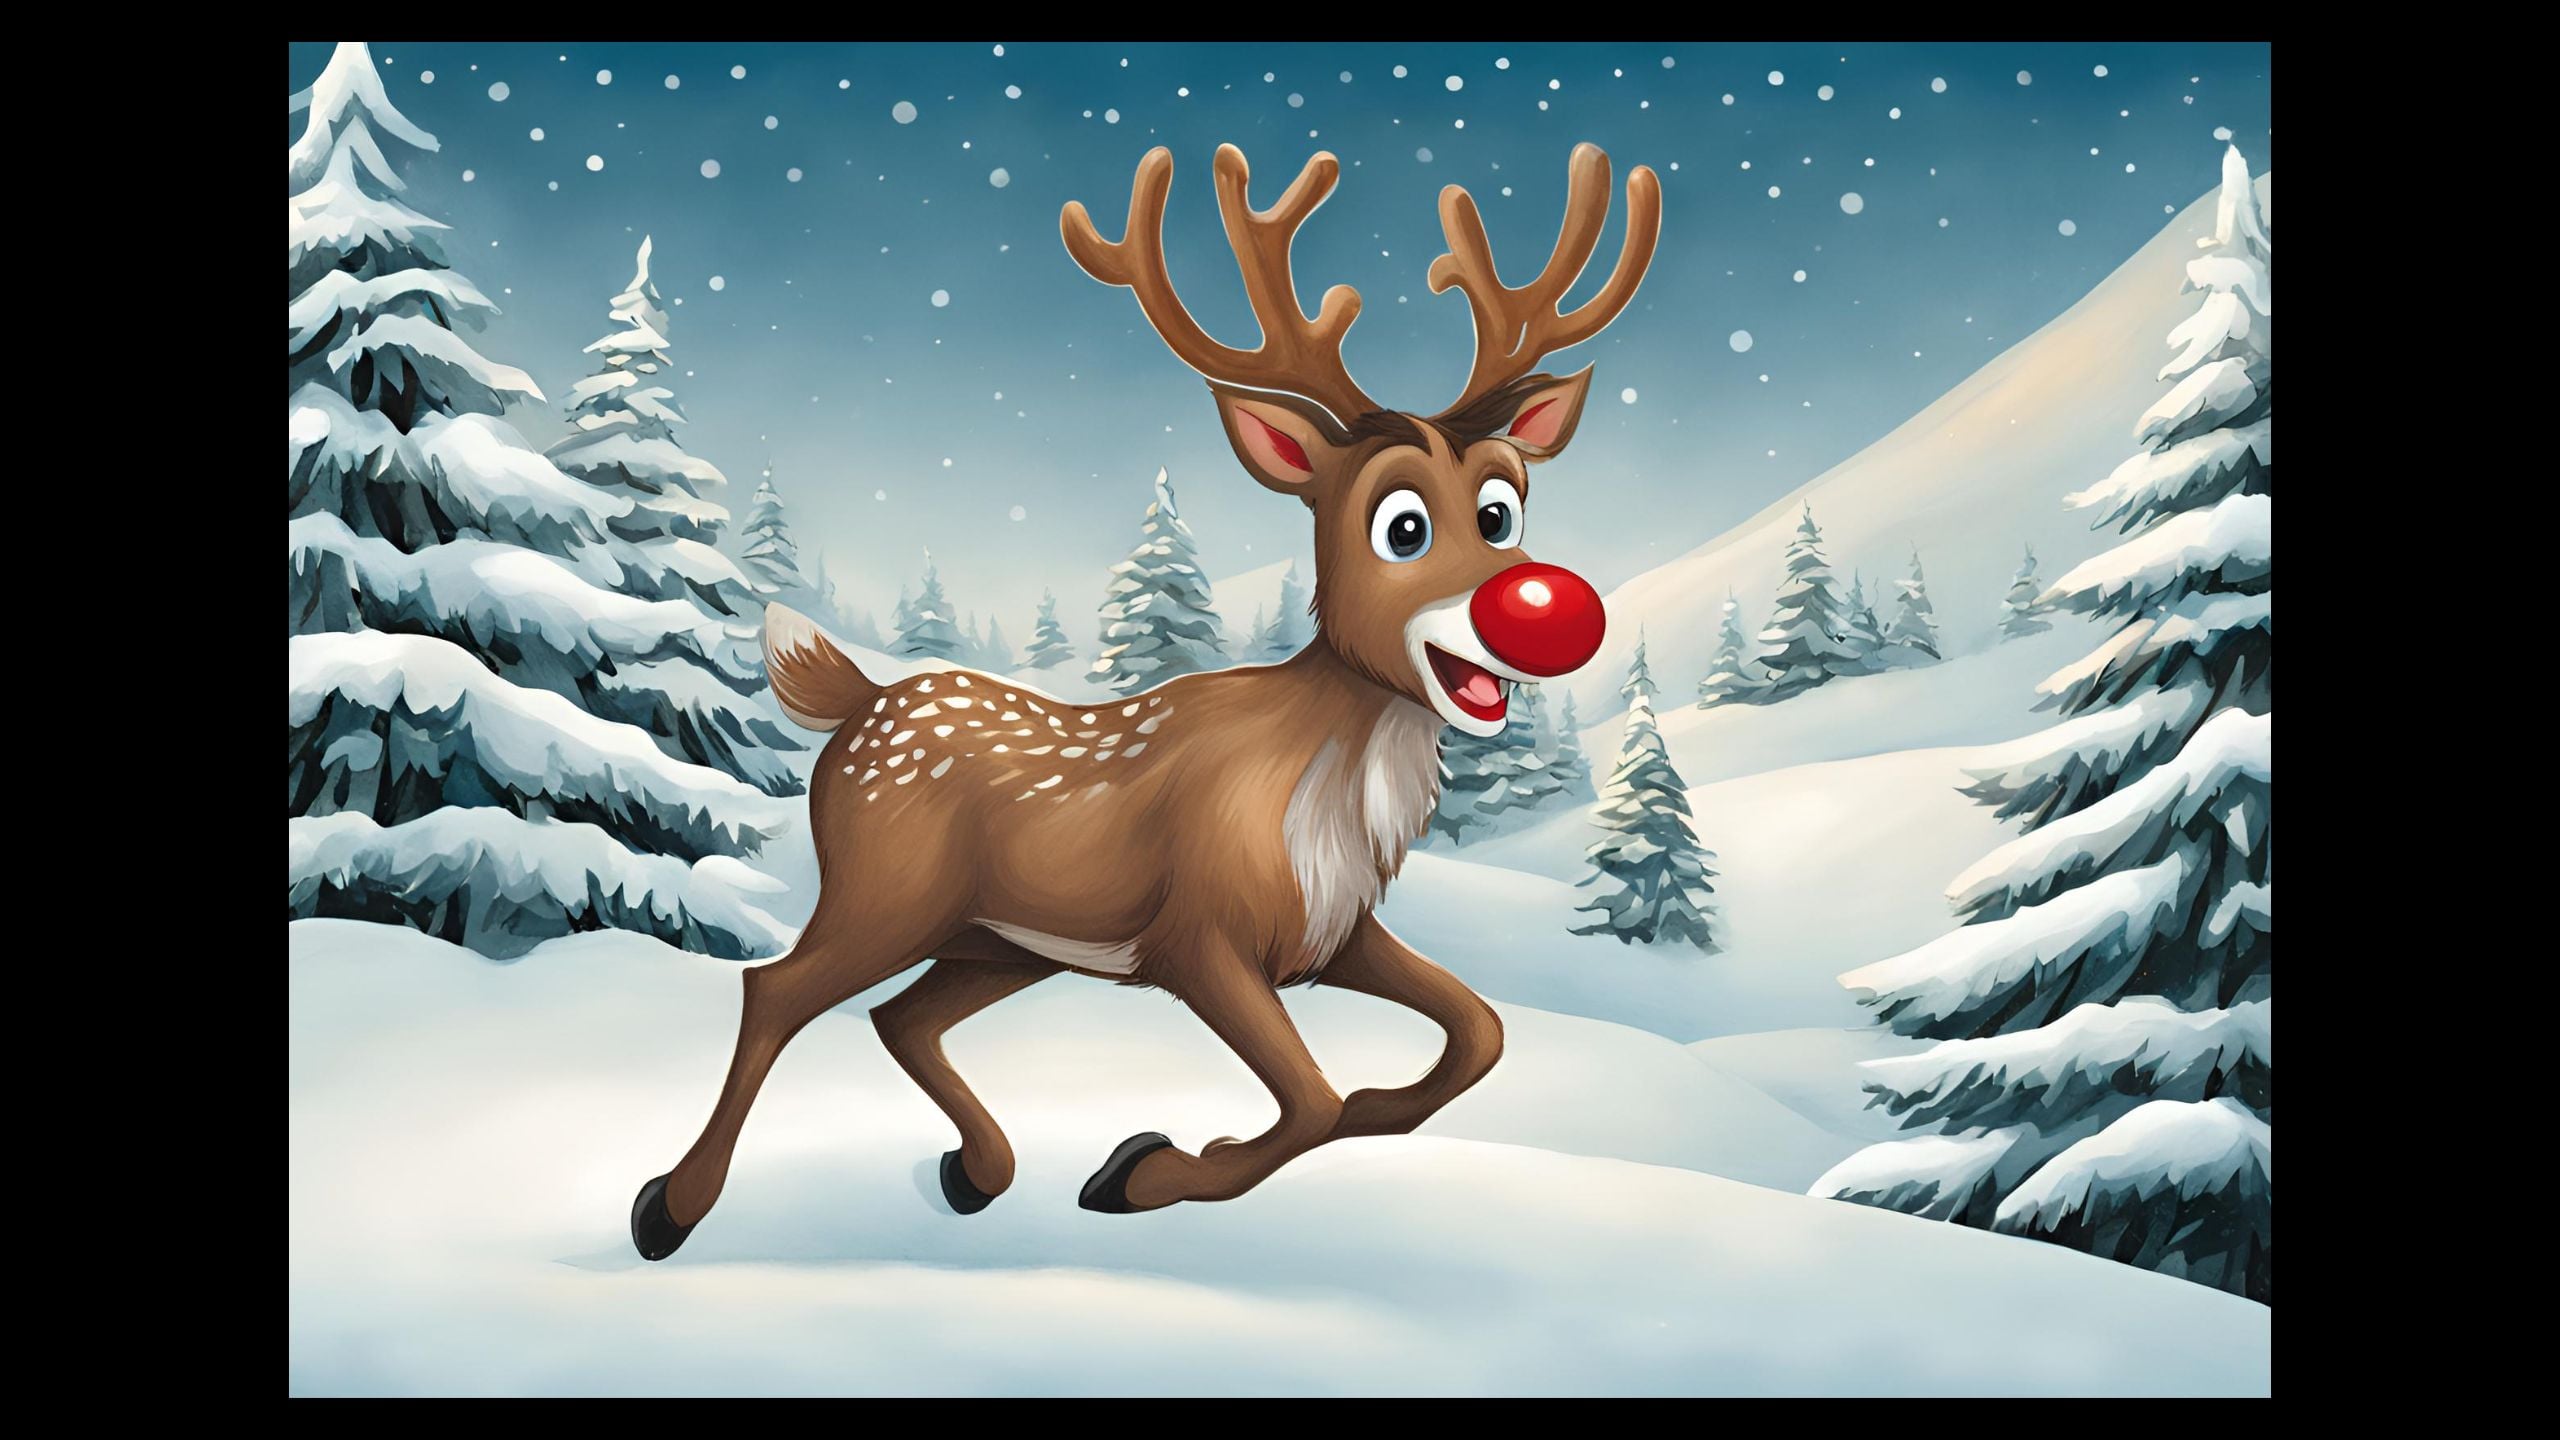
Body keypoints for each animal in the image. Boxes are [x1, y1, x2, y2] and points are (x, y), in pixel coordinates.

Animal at [632, 140, 1660, 1260]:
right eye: (1401, 526)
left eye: (1502, 510)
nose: (1546, 611)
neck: (1326, 787)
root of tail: (859, 700)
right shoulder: (1198, 935)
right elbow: (1313, 1098)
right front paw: (1142, 1169)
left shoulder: (1331, 930)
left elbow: (1474, 1035)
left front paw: (1208, 1147)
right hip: (886, 891)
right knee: (774, 988)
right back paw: (671, 1206)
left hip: (1000, 940)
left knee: (900, 1018)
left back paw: (977, 1171)